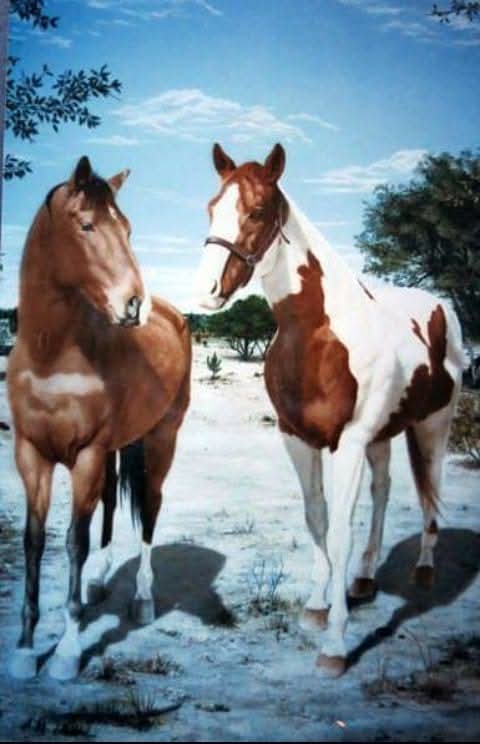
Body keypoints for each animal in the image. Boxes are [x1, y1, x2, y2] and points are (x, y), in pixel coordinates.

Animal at [7, 156, 191, 680]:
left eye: (127, 228)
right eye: (86, 225)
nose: (134, 305)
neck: (51, 354)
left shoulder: (85, 456)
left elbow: (74, 541)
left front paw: (66, 652)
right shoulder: (32, 455)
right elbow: (34, 542)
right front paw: (25, 650)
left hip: (162, 438)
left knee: (150, 507)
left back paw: (143, 599)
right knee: (111, 500)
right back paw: (99, 580)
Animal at [195, 143, 464, 677]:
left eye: (258, 211)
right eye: (212, 206)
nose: (207, 289)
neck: (319, 334)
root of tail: (441, 307)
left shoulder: (350, 442)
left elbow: (339, 531)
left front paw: (336, 645)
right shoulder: (298, 438)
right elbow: (316, 519)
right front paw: (319, 606)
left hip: (433, 425)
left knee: (431, 489)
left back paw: (424, 569)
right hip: (384, 434)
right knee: (383, 493)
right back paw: (363, 578)